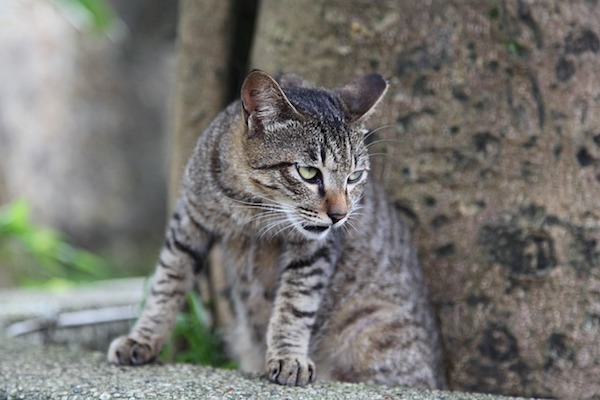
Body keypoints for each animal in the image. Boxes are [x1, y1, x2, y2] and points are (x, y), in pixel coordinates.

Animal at [106, 70, 446, 390]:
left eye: (355, 176)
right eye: (308, 172)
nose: (339, 216)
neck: (252, 209)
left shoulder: (315, 249)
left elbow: (296, 303)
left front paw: (288, 356)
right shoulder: (189, 221)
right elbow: (167, 283)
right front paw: (143, 338)